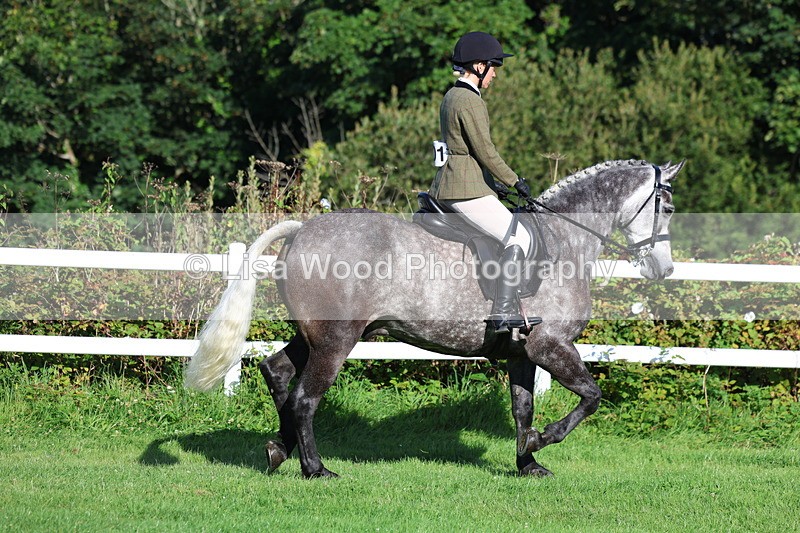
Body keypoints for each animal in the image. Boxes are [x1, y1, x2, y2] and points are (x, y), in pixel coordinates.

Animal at [185, 159, 683, 478]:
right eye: (669, 208)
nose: (664, 269)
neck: (565, 240)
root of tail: (303, 229)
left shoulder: (523, 352)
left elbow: (523, 408)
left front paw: (528, 461)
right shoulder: (551, 346)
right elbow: (591, 397)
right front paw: (542, 441)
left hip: (316, 336)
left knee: (278, 373)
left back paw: (278, 448)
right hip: (336, 341)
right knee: (306, 398)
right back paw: (316, 469)